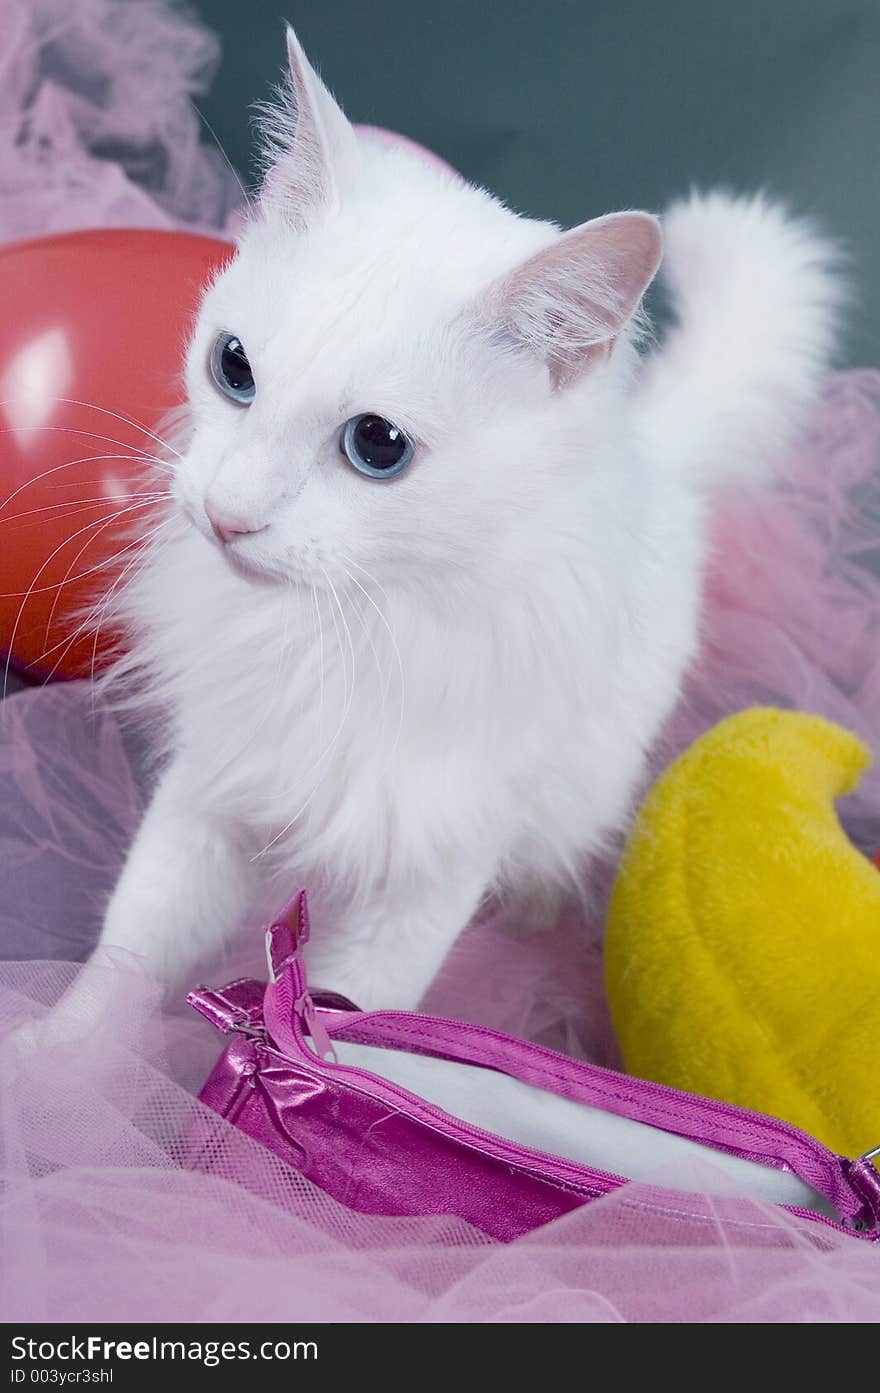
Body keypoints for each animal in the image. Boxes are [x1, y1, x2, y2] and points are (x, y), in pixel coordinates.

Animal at [96, 29, 841, 1014]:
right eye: (234, 368)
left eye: (378, 445)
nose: (226, 517)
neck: (345, 631)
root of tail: (648, 448)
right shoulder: (212, 786)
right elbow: (125, 959)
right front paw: (62, 1051)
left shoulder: (426, 875)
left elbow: (357, 1019)